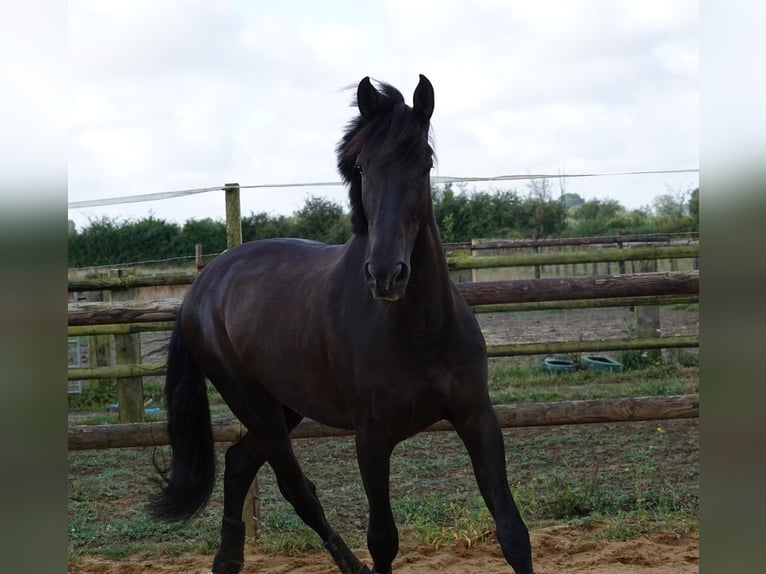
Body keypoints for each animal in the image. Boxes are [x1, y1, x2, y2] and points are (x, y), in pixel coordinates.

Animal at [150, 76, 536, 574]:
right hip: (255, 405)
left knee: (238, 463)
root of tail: (204, 283)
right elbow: (383, 540)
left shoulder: (477, 417)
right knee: (297, 489)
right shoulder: (371, 439)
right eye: (363, 166)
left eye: (424, 162)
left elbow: (512, 531)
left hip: (285, 405)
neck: (420, 329)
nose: (386, 274)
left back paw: (227, 560)